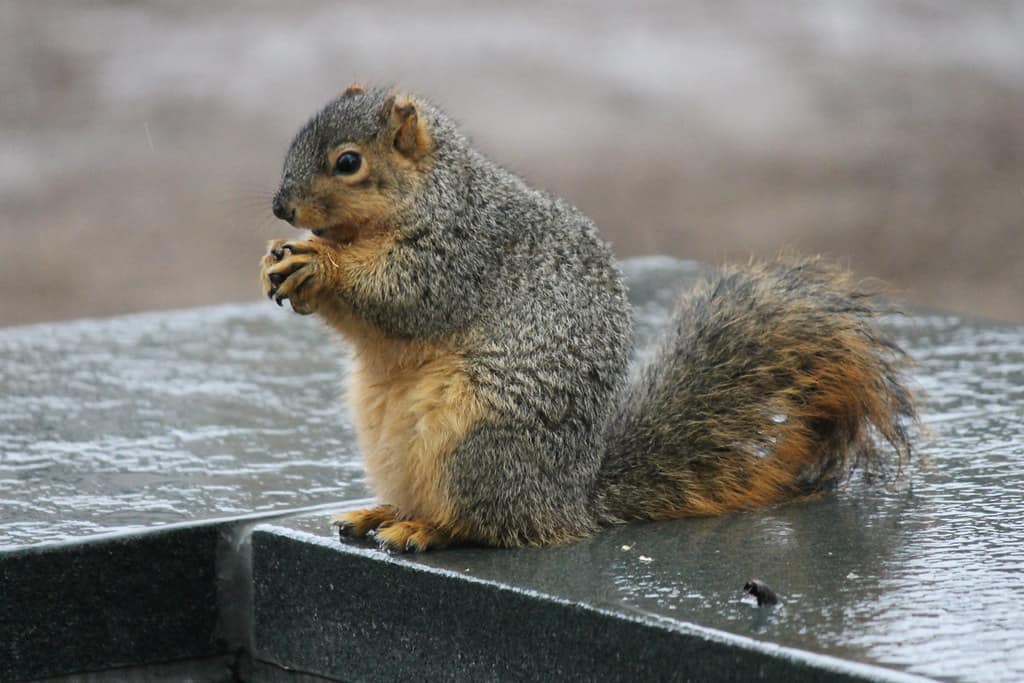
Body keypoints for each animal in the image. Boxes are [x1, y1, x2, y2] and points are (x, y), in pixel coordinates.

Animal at [260, 84, 916, 553]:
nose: (280, 206)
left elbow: (402, 296)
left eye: (348, 162)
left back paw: (426, 530)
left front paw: (319, 263)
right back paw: (383, 511)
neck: (434, 190)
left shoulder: (460, 251)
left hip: (478, 439)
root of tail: (571, 502)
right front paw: (278, 258)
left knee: (484, 523)